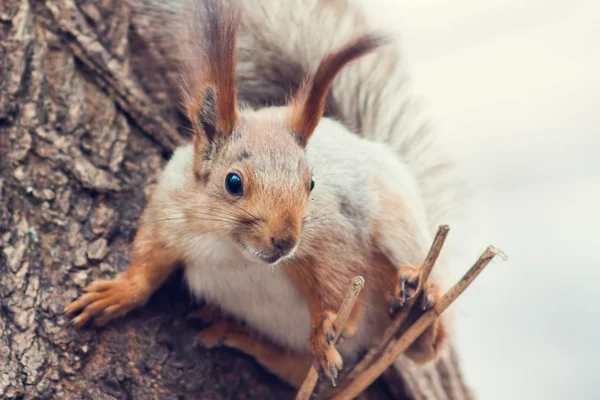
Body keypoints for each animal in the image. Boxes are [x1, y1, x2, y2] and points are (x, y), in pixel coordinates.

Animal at [65, 0, 460, 390]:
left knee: (425, 346)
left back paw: (417, 300)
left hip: (398, 227)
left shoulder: (331, 238)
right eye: (233, 182)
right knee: (296, 369)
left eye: (311, 183)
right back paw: (236, 333)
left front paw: (325, 327)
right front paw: (117, 294)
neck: (232, 248)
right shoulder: (168, 213)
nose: (285, 241)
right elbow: (147, 260)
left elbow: (339, 281)